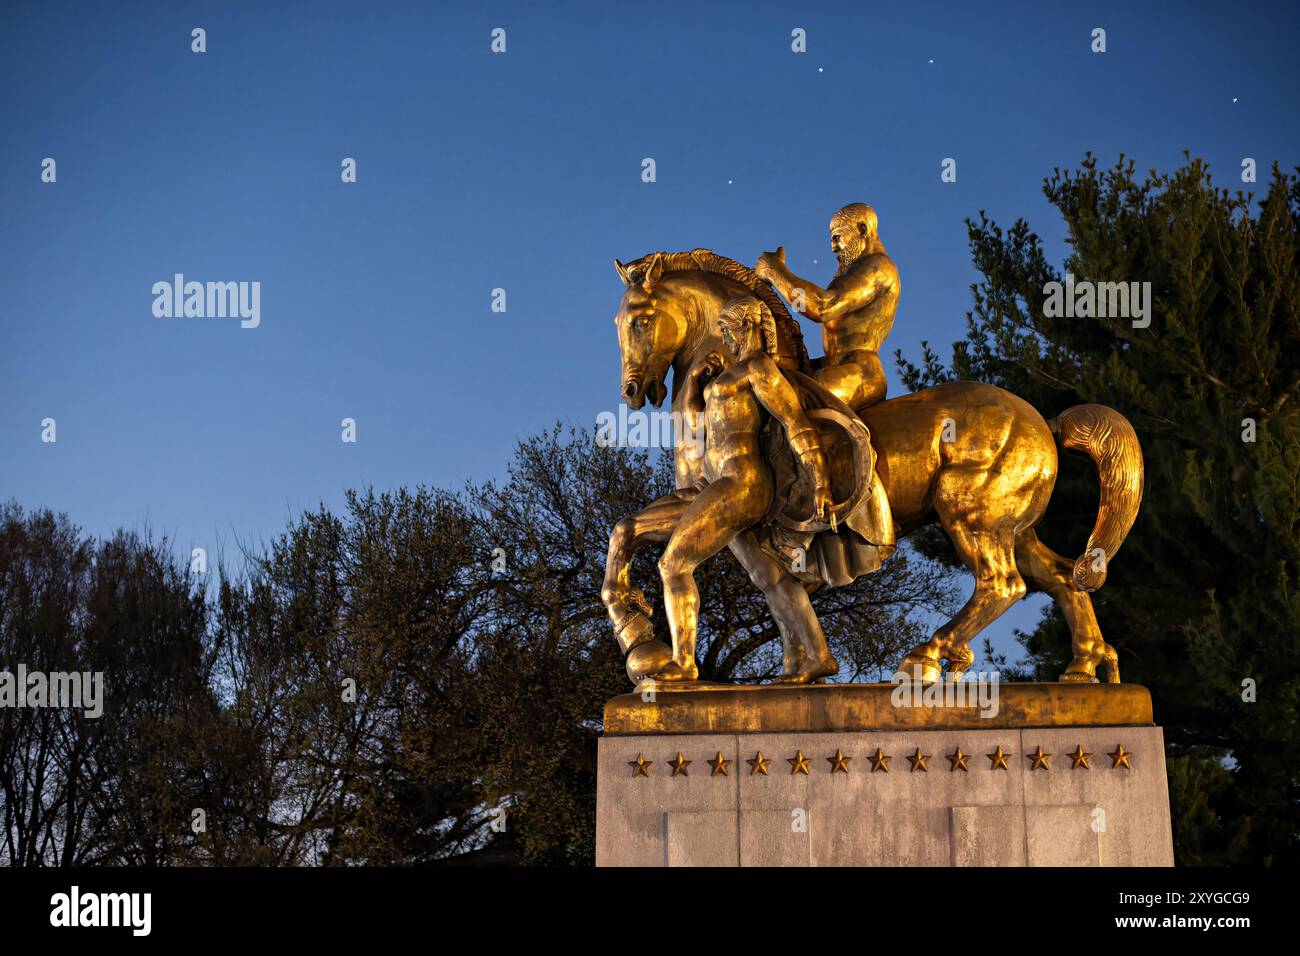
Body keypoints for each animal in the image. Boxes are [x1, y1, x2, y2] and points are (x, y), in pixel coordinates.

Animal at [603, 251, 1144, 686]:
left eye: (640, 321)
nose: (630, 391)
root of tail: (1043, 420)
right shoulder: (698, 500)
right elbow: (625, 529)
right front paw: (637, 632)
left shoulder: (731, 506)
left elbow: (750, 578)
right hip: (1014, 526)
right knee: (1060, 579)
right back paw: (1084, 669)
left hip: (969, 515)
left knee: (1002, 584)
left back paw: (925, 658)